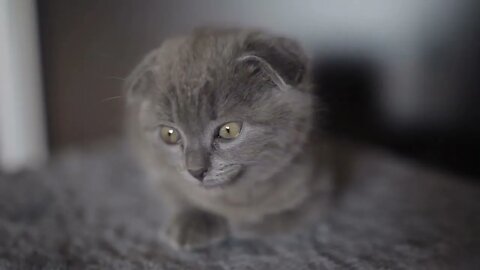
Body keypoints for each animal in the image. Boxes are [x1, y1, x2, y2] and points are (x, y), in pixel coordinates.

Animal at [125, 28, 336, 250]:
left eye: (229, 130)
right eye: (169, 134)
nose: (196, 171)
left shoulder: (319, 181)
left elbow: (288, 213)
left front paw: (243, 222)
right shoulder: (156, 166)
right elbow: (176, 190)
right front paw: (194, 220)